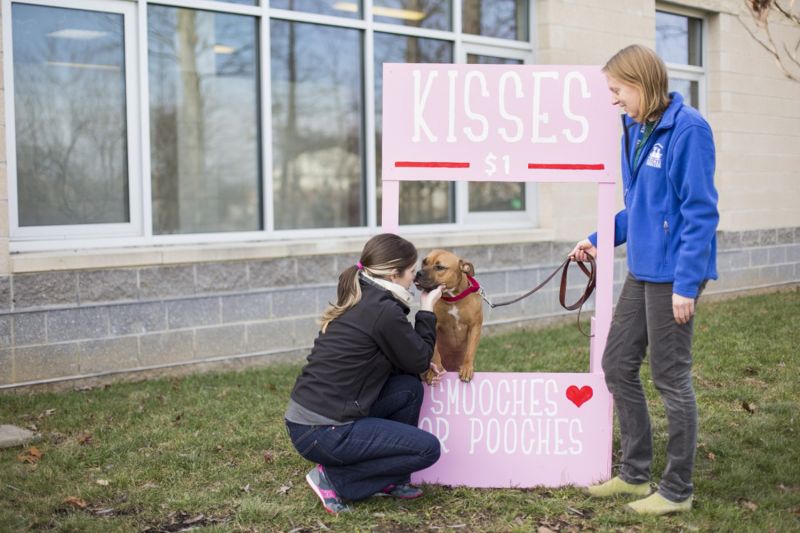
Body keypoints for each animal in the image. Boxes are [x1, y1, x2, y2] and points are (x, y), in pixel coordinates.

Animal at [416, 249, 484, 382]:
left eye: (440, 267)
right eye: (424, 262)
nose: (418, 273)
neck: (453, 298)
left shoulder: (475, 326)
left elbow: (470, 350)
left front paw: (467, 368)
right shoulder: (434, 325)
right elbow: (435, 352)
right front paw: (435, 370)